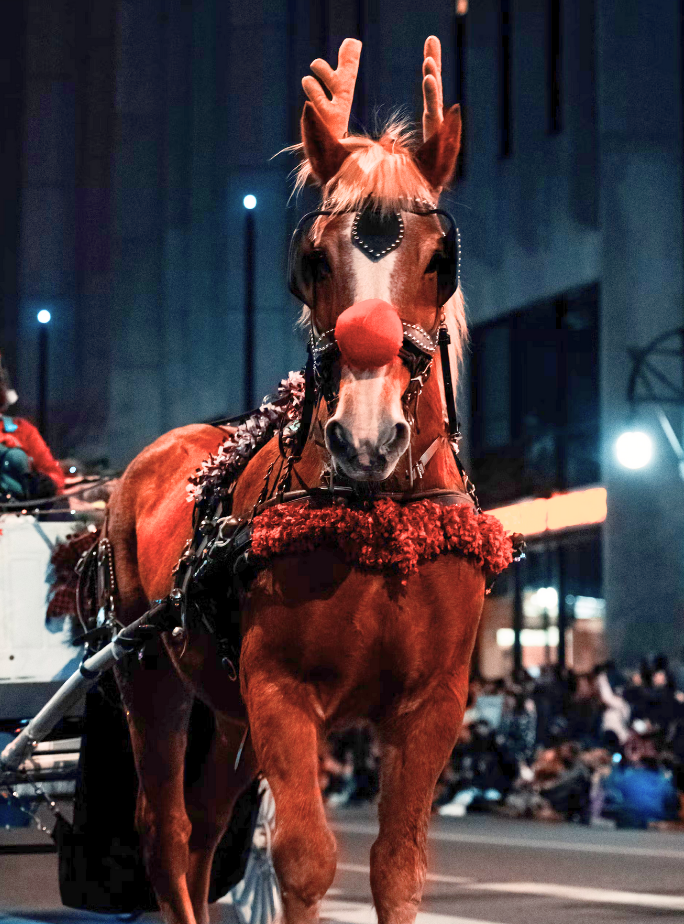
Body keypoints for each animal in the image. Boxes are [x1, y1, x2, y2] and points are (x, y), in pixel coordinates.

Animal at [106, 36, 511, 924]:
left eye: (440, 262)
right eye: (313, 263)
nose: (366, 437)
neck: (379, 515)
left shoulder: (434, 708)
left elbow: (395, 866)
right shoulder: (280, 690)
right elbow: (303, 859)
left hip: (227, 714)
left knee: (203, 831)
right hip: (147, 670)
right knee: (164, 831)